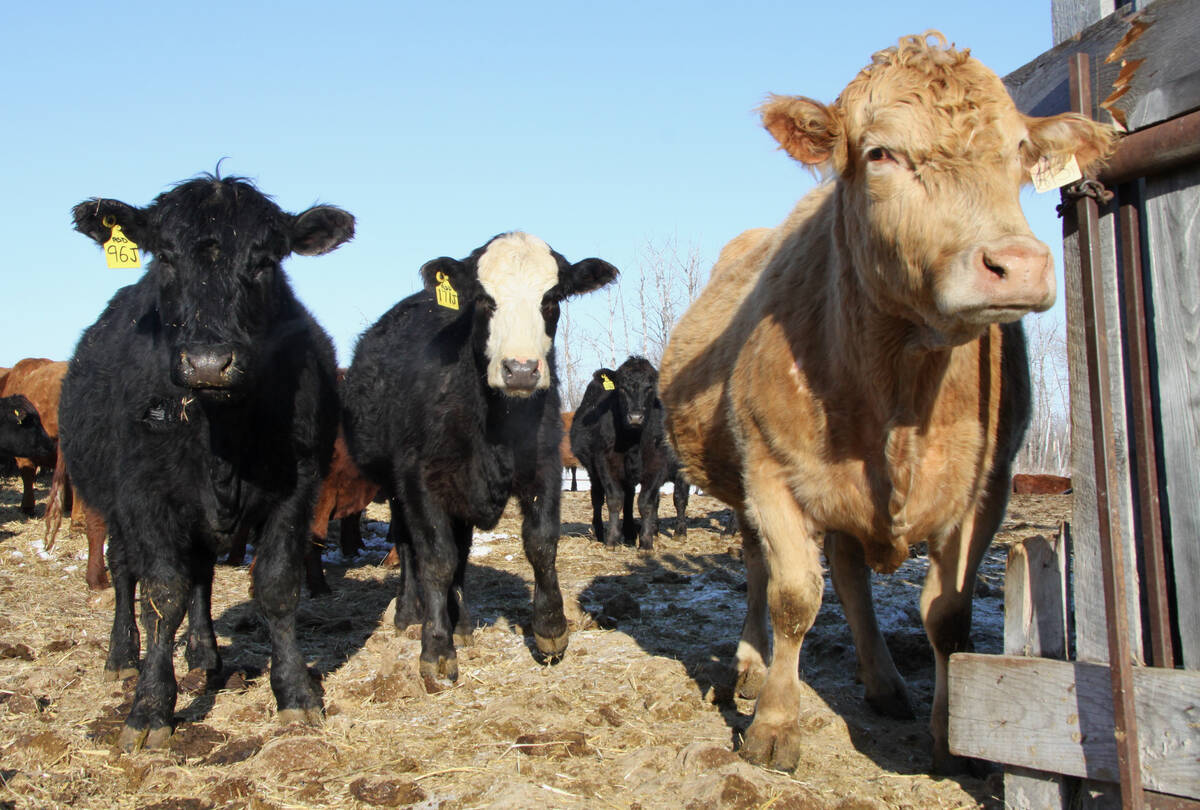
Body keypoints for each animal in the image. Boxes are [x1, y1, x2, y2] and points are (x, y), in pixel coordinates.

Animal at [59, 173, 353, 751]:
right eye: (165, 258)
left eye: (265, 261)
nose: (209, 363)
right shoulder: (144, 495)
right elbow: (162, 594)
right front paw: (150, 707)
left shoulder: (297, 488)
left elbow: (276, 586)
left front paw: (295, 693)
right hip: (113, 506)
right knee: (125, 571)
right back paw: (122, 656)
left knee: (201, 576)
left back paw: (204, 654)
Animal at [341, 231, 617, 691]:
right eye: (485, 300)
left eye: (552, 298)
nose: (521, 370)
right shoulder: (420, 480)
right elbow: (436, 560)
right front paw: (436, 652)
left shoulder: (544, 465)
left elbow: (540, 543)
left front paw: (551, 630)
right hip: (397, 487)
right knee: (408, 546)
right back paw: (408, 614)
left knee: (463, 552)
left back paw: (463, 624)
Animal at [570, 357, 689, 550]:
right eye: (621, 388)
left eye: (650, 387)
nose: (635, 417)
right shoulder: (605, 463)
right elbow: (614, 499)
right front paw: (611, 540)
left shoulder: (659, 464)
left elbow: (649, 502)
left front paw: (647, 542)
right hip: (593, 471)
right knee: (598, 498)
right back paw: (601, 533)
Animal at [658, 32, 1116, 774]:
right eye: (880, 154)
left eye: (1022, 151)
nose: (1017, 264)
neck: (902, 380)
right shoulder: (770, 473)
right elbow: (793, 598)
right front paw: (774, 725)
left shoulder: (987, 487)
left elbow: (948, 614)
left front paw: (950, 736)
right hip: (740, 483)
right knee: (760, 570)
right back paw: (752, 669)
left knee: (850, 575)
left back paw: (882, 681)